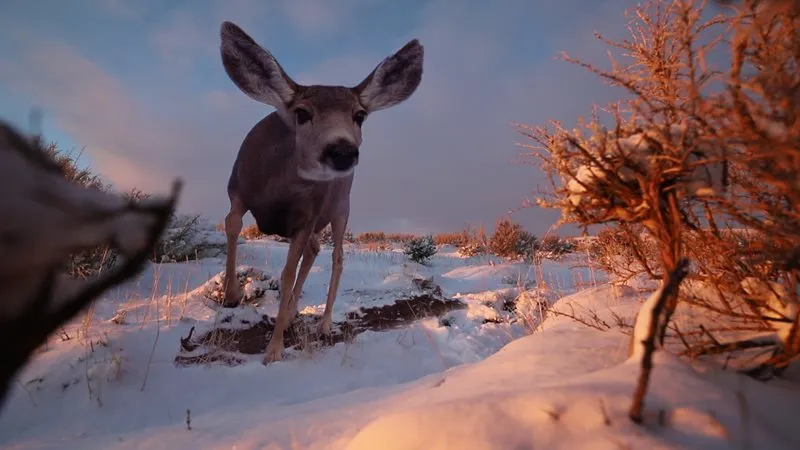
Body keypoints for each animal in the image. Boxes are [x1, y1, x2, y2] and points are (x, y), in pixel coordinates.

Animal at [216, 22, 422, 364]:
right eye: (301, 113)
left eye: (359, 115)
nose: (342, 151)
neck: (276, 191)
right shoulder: (237, 188)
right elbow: (232, 224)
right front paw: (231, 295)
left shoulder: (308, 215)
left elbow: (288, 272)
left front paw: (273, 350)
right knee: (314, 250)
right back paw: (292, 311)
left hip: (341, 208)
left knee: (336, 257)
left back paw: (322, 323)